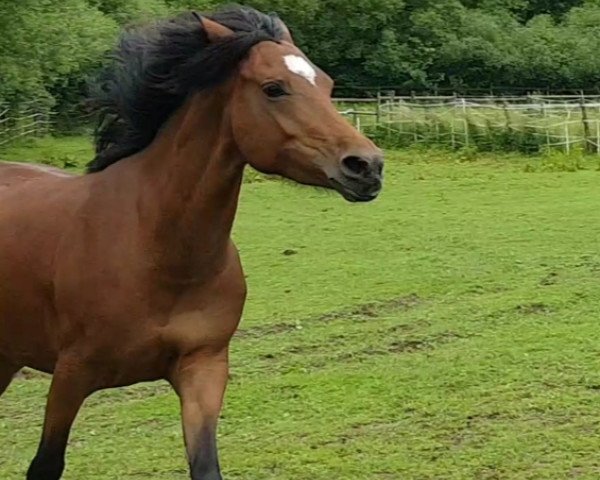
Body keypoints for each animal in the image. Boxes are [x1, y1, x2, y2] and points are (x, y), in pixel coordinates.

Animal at [0, 7, 384, 480]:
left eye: (327, 85)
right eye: (274, 88)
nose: (367, 166)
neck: (158, 251)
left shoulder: (204, 367)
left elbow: (205, 465)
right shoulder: (71, 373)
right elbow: (45, 464)